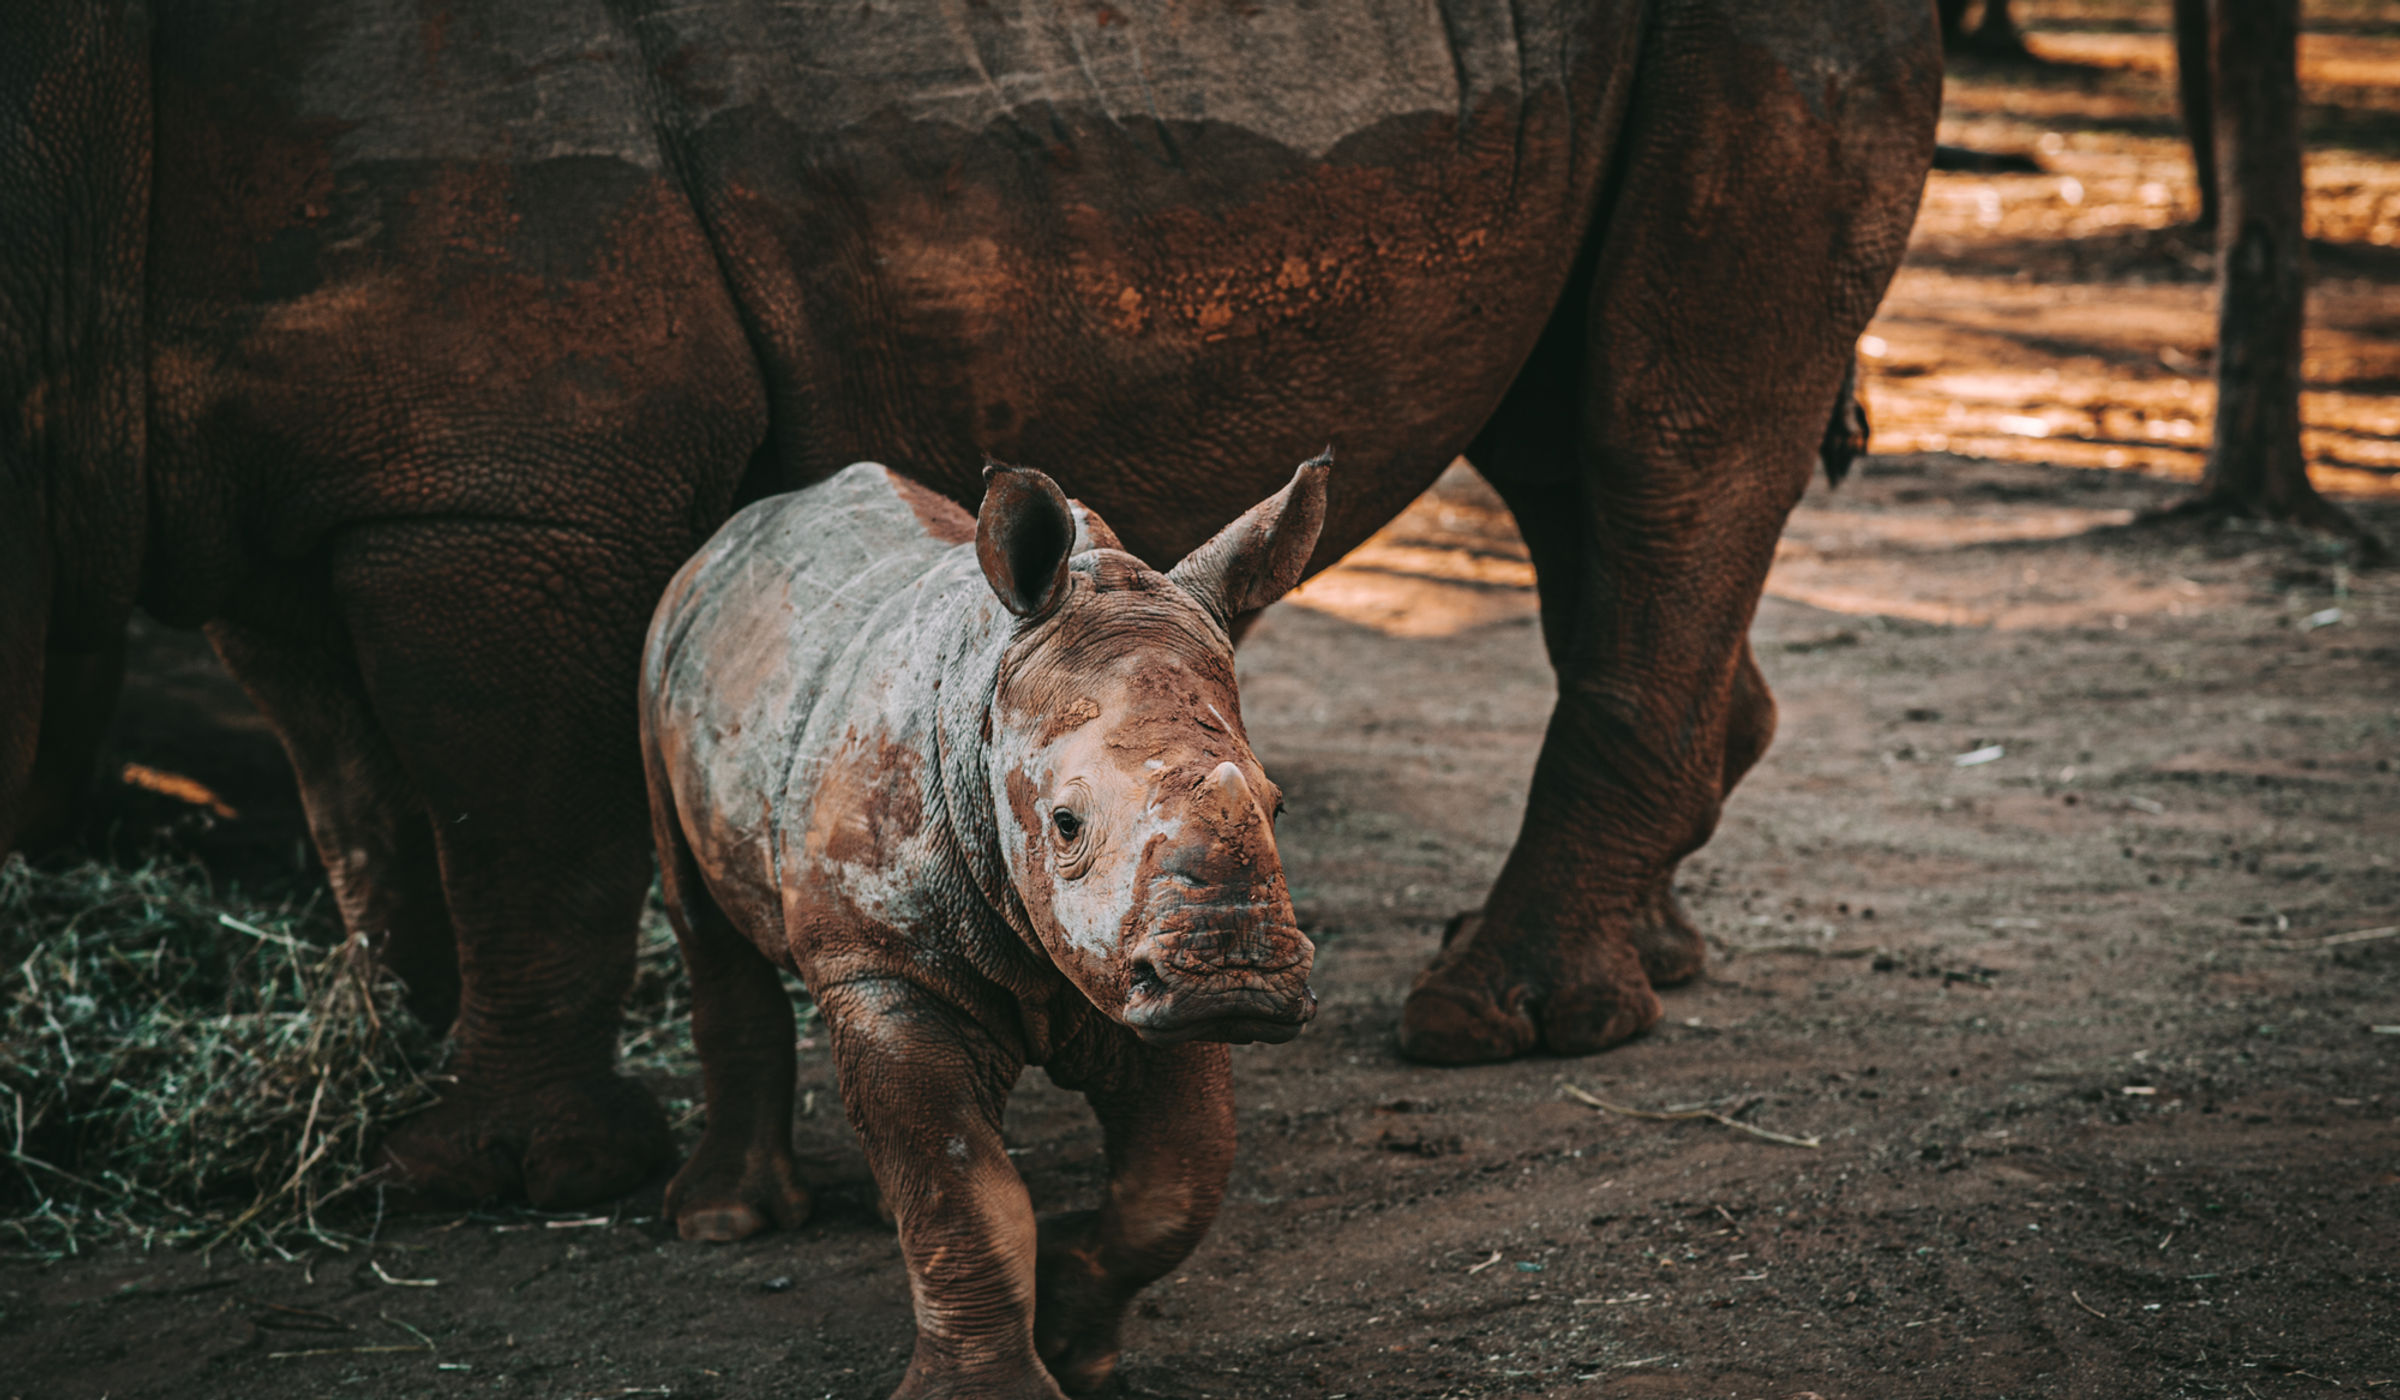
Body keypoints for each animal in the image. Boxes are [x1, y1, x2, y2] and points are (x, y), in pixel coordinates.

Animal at [1, 1, 1938, 1205]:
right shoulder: (250, 496)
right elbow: (350, 786)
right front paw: (370, 1070)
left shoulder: (496, 482)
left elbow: (512, 815)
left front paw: (485, 1177)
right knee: (1568, 450)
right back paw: (1648, 954)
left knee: (1662, 430)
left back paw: (1497, 1024)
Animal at [639, 458, 1324, 1398]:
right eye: (1066, 824)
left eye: (1276, 806)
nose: (1239, 980)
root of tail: (735, 534)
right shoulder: (884, 969)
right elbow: (960, 1196)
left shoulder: (1146, 978)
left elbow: (1181, 1176)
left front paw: (1072, 1338)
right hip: (661, 655)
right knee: (701, 917)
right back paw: (722, 1224)